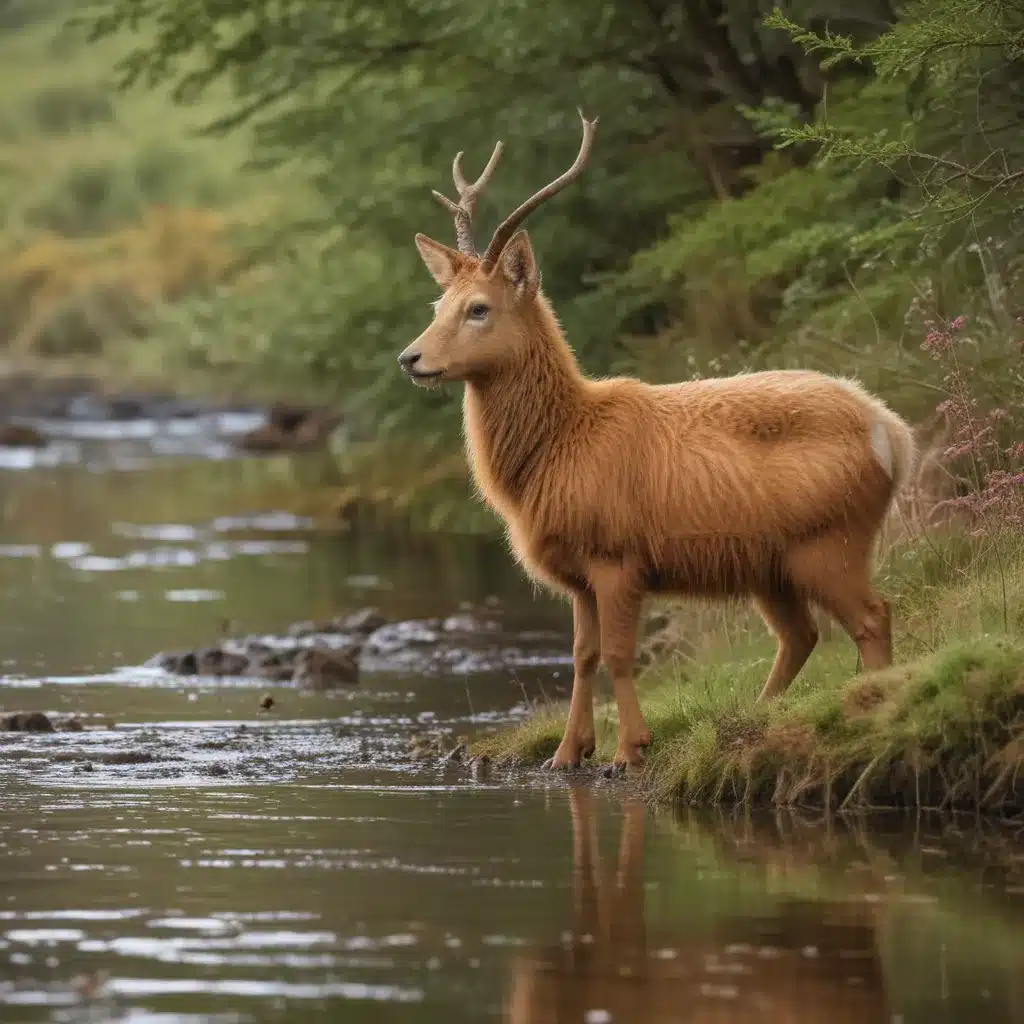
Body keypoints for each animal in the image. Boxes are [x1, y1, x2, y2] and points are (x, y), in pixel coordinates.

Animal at [395, 108, 917, 770]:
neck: (557, 450)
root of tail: (894, 433)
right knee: (802, 634)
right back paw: (754, 713)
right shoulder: (578, 571)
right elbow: (581, 656)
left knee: (873, 616)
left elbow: (619, 655)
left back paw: (868, 702)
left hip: (832, 536)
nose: (411, 358)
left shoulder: (617, 552)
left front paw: (629, 749)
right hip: (773, 562)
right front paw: (567, 753)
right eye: (438, 304)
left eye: (479, 308)